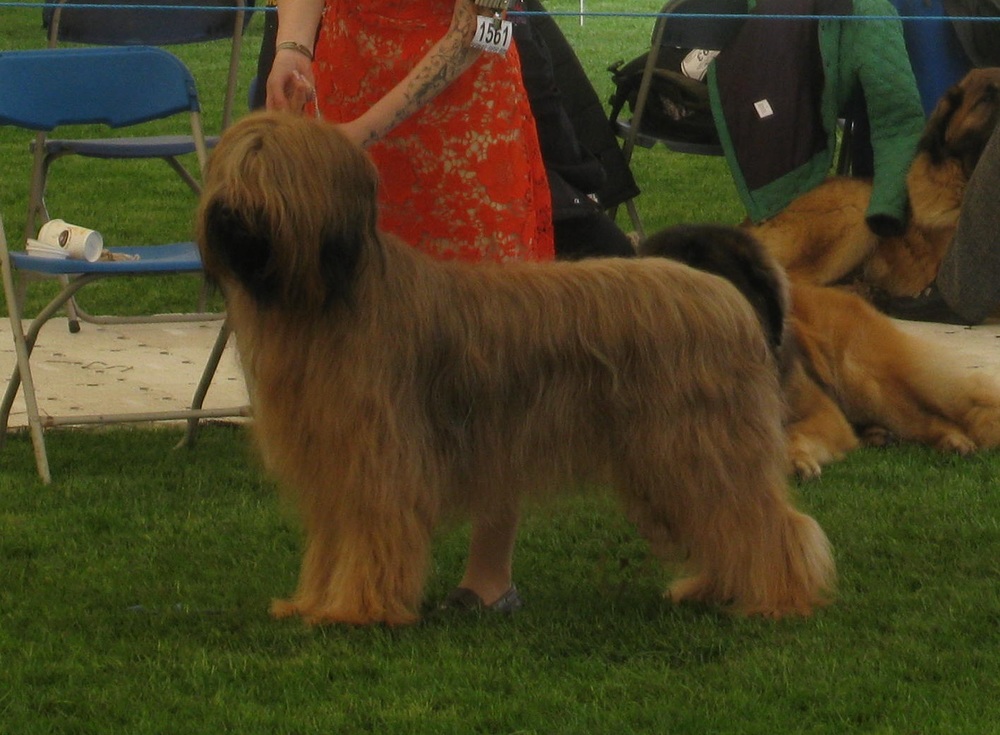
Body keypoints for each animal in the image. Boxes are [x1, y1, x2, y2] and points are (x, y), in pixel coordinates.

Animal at [195, 113, 836, 628]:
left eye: (269, 168)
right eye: (232, 165)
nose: (228, 213)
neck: (330, 298)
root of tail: (726, 294)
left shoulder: (378, 463)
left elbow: (372, 536)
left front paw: (355, 611)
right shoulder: (333, 465)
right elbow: (331, 545)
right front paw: (310, 602)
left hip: (700, 447)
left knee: (765, 522)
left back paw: (779, 599)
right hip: (667, 461)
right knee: (725, 527)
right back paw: (711, 588)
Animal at [636, 224, 1000, 480]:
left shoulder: (819, 411)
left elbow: (789, 434)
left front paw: (796, 462)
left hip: (866, 381)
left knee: (926, 417)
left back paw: (953, 441)